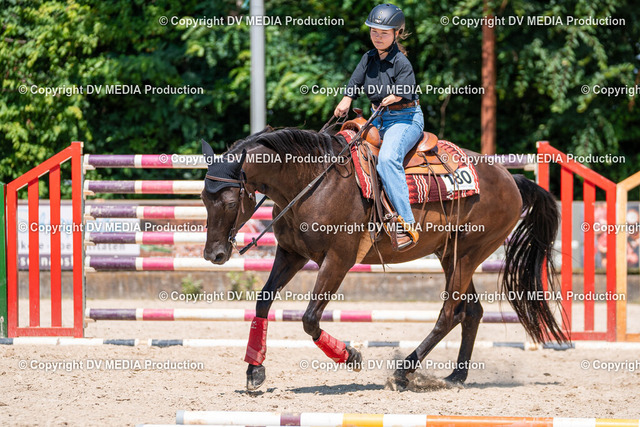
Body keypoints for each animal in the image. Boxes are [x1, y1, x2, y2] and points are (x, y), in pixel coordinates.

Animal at [200, 126, 567, 391]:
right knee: (472, 312)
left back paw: (405, 372)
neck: (313, 181)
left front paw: (351, 356)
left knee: (449, 314)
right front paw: (255, 369)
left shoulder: (338, 260)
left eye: (230, 201)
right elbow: (263, 301)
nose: (213, 254)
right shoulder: (291, 254)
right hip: (451, 254)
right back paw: (456, 377)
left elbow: (309, 318)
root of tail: (512, 179)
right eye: (203, 197)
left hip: (468, 254)